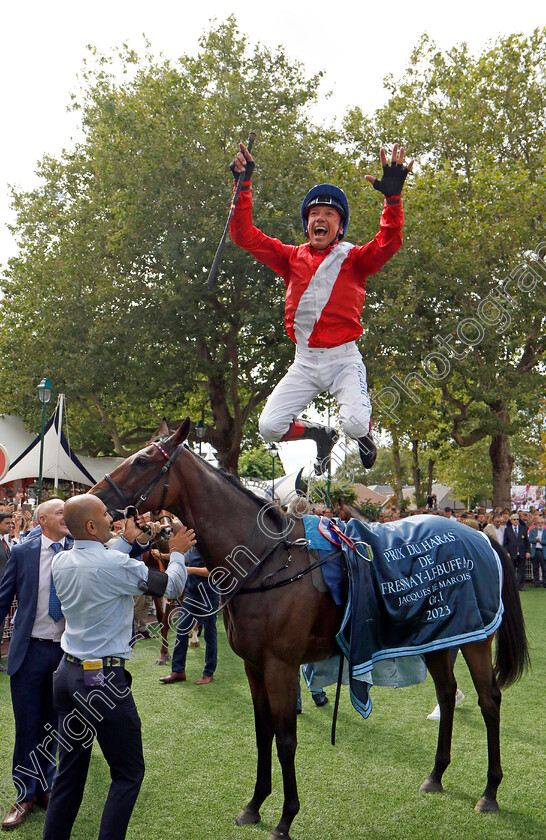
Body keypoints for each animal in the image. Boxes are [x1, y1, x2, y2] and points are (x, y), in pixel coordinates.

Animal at [90, 420, 528, 840]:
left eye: (142, 461)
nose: (95, 499)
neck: (265, 561)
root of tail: (481, 535)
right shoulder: (254, 667)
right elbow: (263, 732)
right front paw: (254, 804)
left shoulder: (280, 666)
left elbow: (286, 740)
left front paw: (285, 819)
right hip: (439, 639)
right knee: (448, 695)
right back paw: (436, 775)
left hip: (475, 639)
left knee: (489, 701)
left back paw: (490, 791)